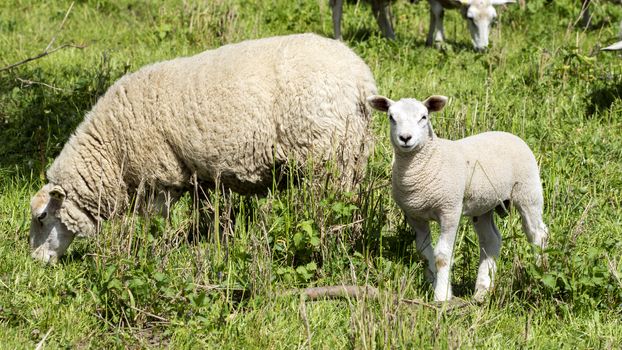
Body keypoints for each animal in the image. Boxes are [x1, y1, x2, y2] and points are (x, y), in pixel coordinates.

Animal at [28, 33, 380, 262]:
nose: (34, 262)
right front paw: (212, 244)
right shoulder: (202, 175)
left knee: (333, 208)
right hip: (353, 152)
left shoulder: (160, 178)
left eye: (42, 217)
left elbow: (163, 222)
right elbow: (211, 216)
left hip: (329, 155)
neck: (112, 153)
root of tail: (360, 76)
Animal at [368, 94, 548, 302]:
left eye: (423, 117)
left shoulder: (450, 210)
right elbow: (424, 252)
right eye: (391, 117)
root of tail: (509, 134)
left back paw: (540, 273)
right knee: (491, 241)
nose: (405, 138)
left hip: (528, 191)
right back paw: (482, 290)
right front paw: (433, 281)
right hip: (483, 204)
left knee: (537, 233)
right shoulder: (415, 216)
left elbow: (442, 255)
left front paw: (442, 295)